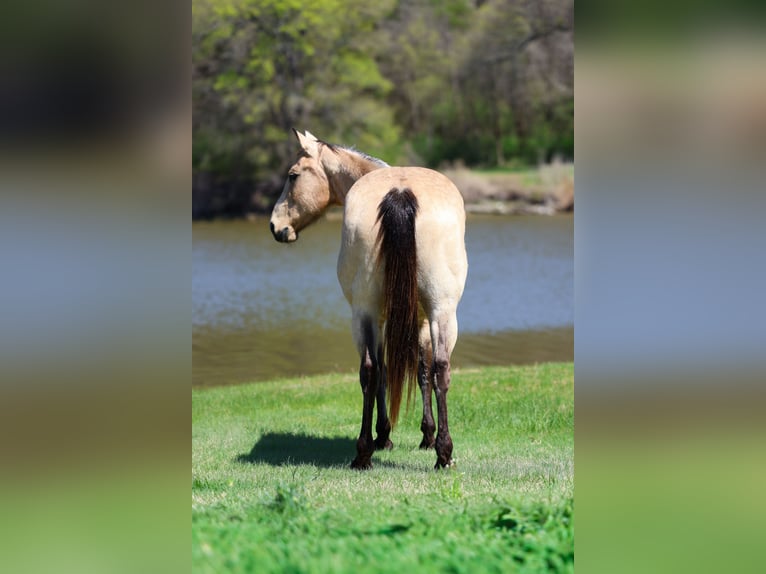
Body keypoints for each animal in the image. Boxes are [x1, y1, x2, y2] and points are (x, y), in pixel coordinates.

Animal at [270, 129, 467, 469]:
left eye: (293, 175)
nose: (276, 226)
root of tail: (399, 192)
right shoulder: (416, 318)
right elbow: (418, 371)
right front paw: (418, 436)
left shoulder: (400, 320)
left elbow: (407, 372)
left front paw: (398, 435)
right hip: (438, 311)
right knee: (434, 369)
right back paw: (440, 454)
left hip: (372, 313)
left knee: (375, 371)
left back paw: (369, 452)